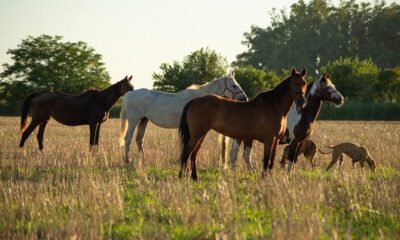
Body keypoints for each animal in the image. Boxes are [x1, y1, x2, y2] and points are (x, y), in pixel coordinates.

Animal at [119, 72, 247, 164]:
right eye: (234, 85)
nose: (244, 98)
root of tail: (128, 95)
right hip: (133, 121)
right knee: (128, 139)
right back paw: (127, 160)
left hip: (144, 120)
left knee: (139, 140)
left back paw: (143, 159)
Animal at [177, 66, 306, 179]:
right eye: (293, 83)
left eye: (304, 83)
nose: (301, 102)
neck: (274, 106)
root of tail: (194, 101)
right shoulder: (269, 139)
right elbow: (266, 159)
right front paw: (264, 178)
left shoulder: (276, 140)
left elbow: (271, 160)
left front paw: (269, 177)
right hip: (197, 135)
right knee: (186, 153)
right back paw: (182, 176)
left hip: (201, 135)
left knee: (193, 154)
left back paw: (194, 177)